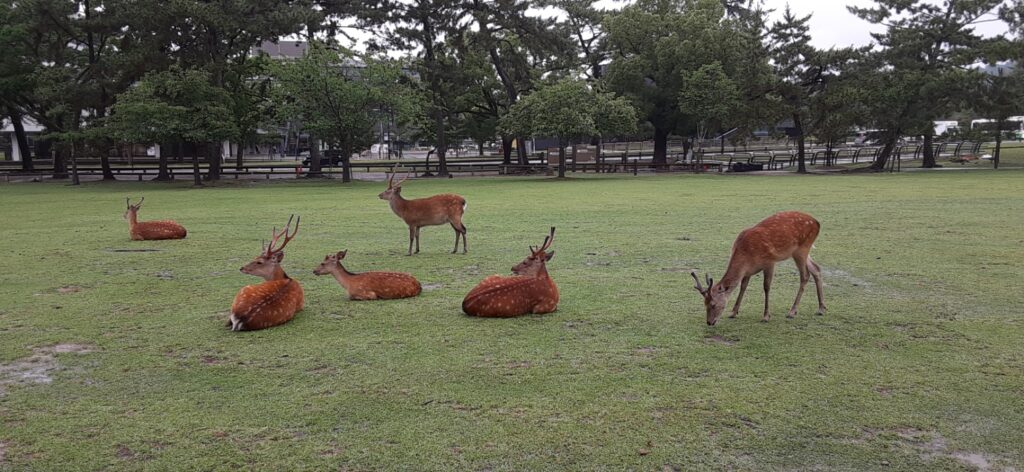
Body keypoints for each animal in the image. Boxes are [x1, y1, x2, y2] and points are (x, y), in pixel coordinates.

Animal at [692, 211, 827, 325]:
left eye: (713, 304)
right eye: (704, 304)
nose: (709, 322)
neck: (746, 255)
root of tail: (817, 223)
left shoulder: (769, 262)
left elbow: (766, 287)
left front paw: (766, 316)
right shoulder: (747, 271)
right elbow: (743, 287)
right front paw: (733, 312)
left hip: (802, 248)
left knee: (805, 275)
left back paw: (792, 311)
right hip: (800, 251)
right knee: (816, 269)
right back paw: (821, 308)